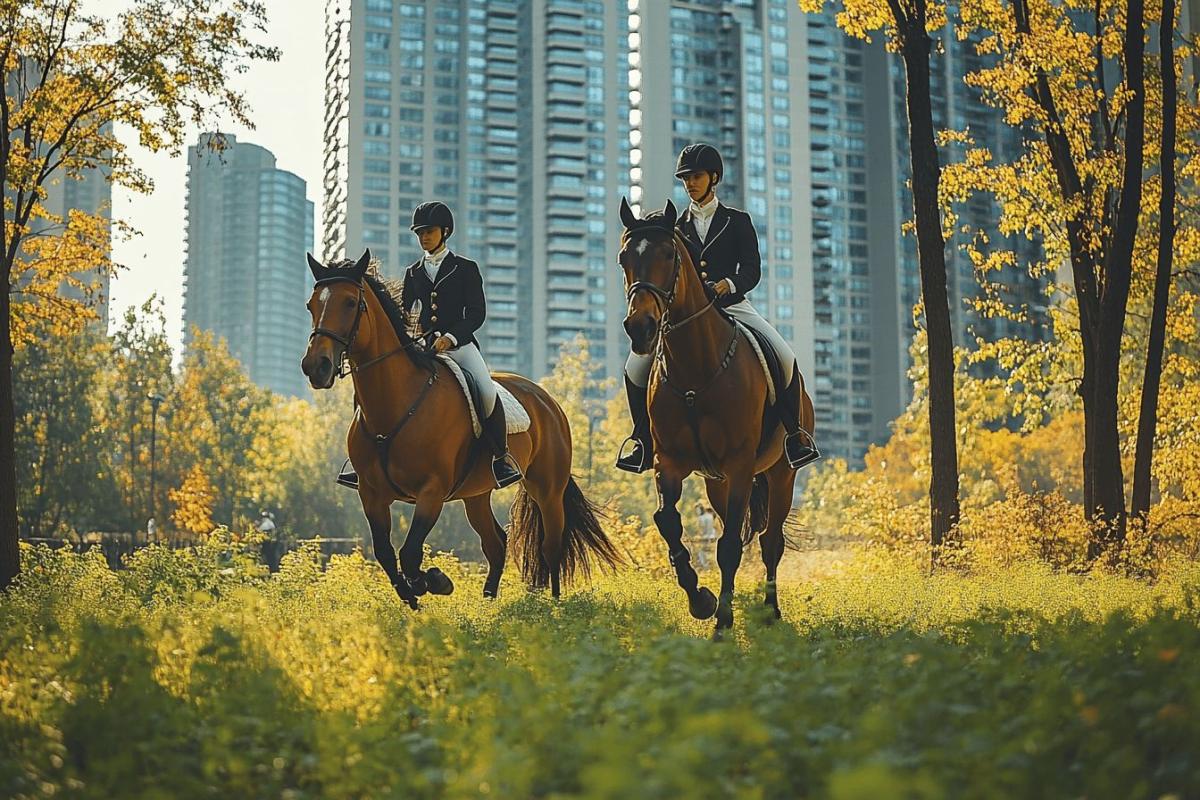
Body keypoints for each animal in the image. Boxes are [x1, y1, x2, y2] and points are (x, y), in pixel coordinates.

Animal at [300, 250, 621, 606]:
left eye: (350, 303)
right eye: (311, 305)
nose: (316, 367)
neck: (397, 404)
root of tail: (547, 400)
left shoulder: (432, 491)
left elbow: (410, 552)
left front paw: (434, 581)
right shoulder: (371, 494)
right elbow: (385, 552)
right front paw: (411, 593)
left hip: (547, 488)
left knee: (551, 545)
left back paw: (554, 604)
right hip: (477, 494)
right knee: (496, 543)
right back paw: (488, 602)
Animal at [617, 199, 817, 635]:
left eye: (669, 255)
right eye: (624, 258)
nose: (640, 329)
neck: (696, 367)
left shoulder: (740, 464)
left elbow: (728, 548)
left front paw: (722, 624)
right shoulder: (670, 463)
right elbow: (668, 522)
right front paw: (701, 600)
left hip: (781, 474)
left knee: (770, 541)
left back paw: (770, 612)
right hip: (716, 483)